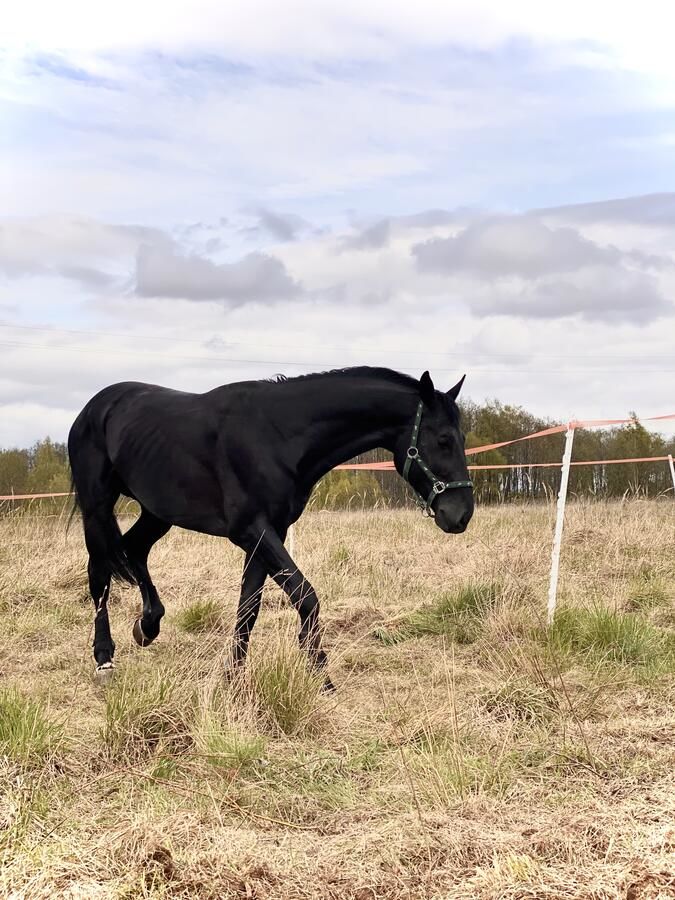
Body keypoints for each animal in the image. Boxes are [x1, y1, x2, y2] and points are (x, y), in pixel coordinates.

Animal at [67, 362, 470, 684]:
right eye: (443, 440)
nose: (461, 514)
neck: (277, 434)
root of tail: (94, 407)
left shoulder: (268, 533)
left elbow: (249, 608)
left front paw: (233, 678)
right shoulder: (250, 530)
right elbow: (305, 597)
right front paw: (320, 676)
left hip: (157, 512)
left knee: (134, 550)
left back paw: (148, 626)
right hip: (97, 508)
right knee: (100, 574)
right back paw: (104, 659)